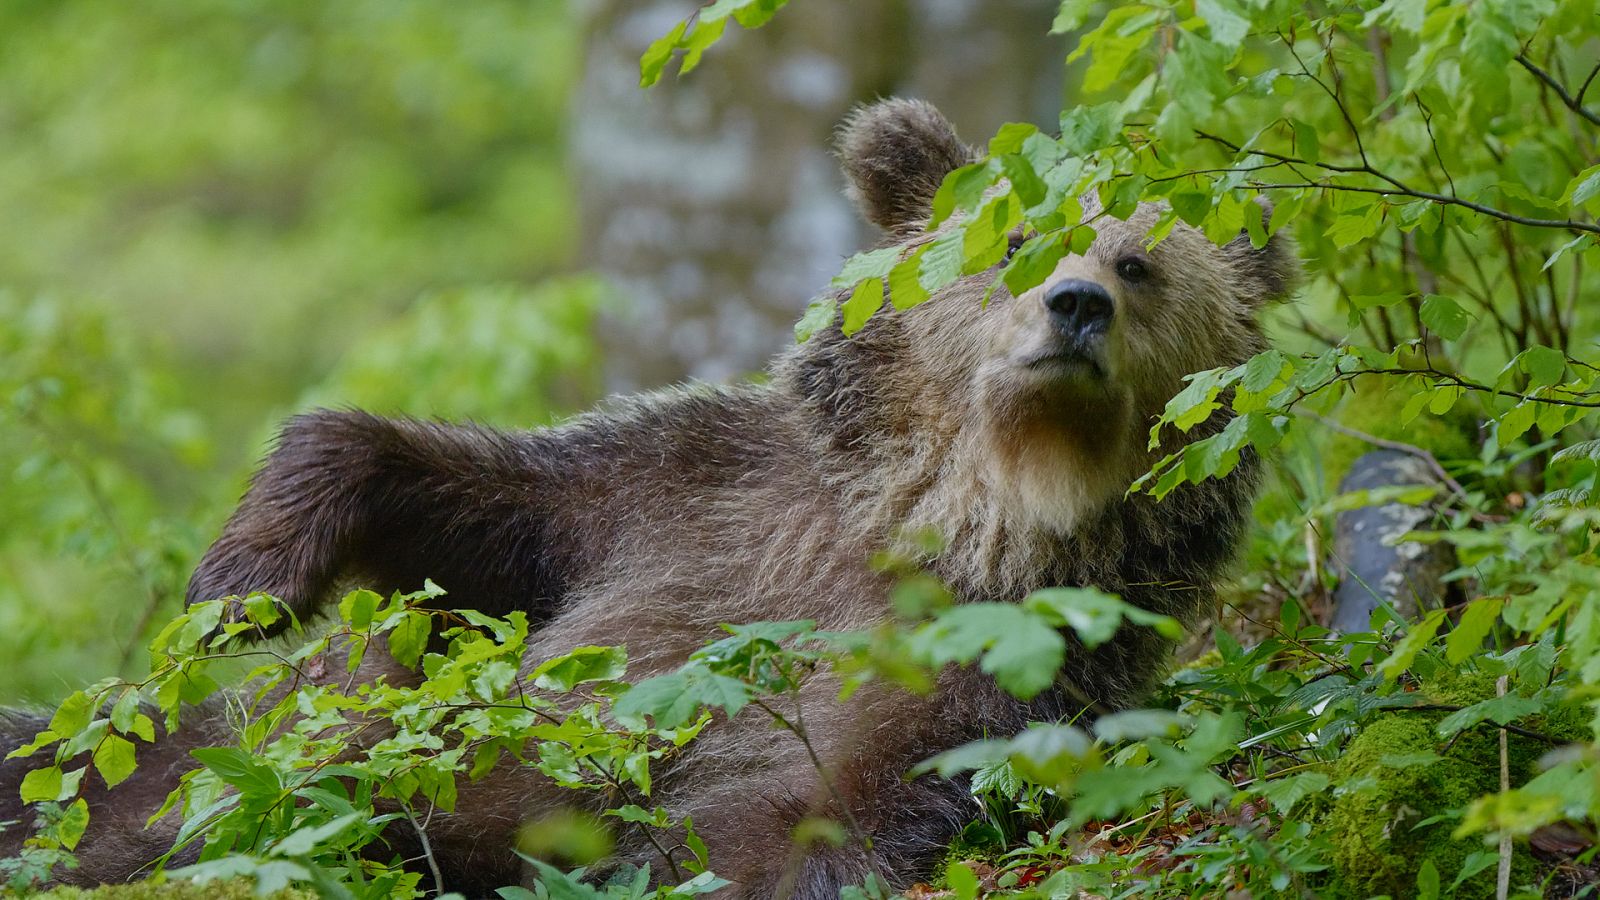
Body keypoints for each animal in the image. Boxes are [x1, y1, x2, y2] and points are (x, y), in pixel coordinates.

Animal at [0, 94, 1292, 890]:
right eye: (1014, 235)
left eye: (1138, 262)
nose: (1075, 305)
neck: (959, 507)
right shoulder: (683, 502)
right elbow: (455, 506)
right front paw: (243, 582)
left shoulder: (988, 669)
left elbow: (798, 810)